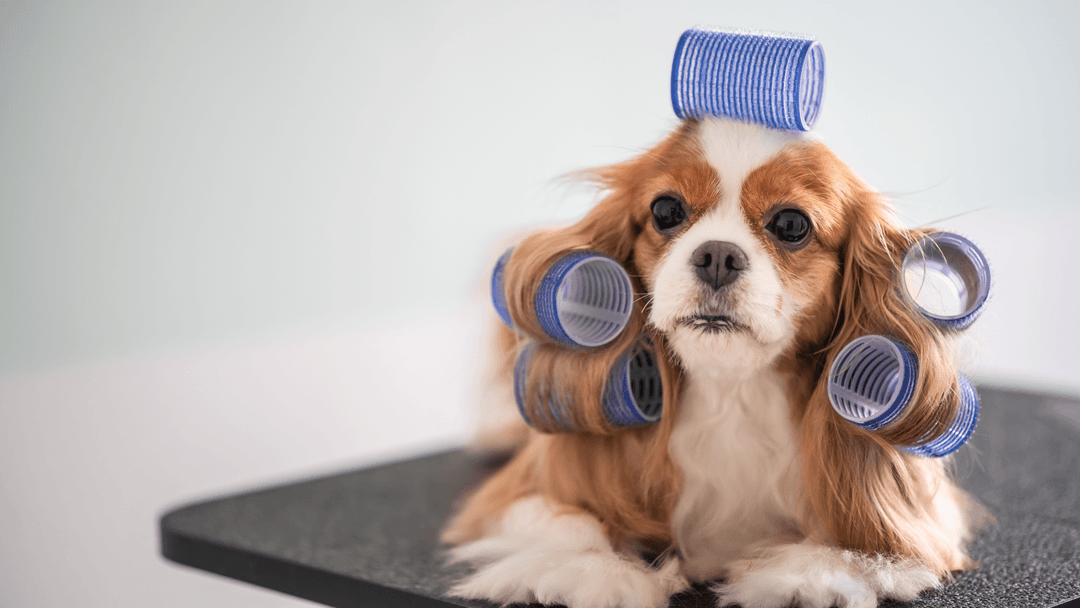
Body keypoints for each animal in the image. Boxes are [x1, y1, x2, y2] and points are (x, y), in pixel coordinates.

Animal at [438, 116, 980, 608]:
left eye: (791, 225)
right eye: (666, 210)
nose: (718, 255)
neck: (731, 392)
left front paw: (815, 574)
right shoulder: (510, 497)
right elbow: (570, 521)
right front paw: (593, 572)